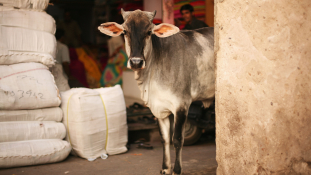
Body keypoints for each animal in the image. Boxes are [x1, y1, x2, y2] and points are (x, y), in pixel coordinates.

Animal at [99, 8, 214, 175]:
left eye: (148, 32)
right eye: (125, 32)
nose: (136, 62)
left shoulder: (182, 105)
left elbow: (177, 139)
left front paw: (176, 170)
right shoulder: (159, 108)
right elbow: (165, 138)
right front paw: (165, 168)